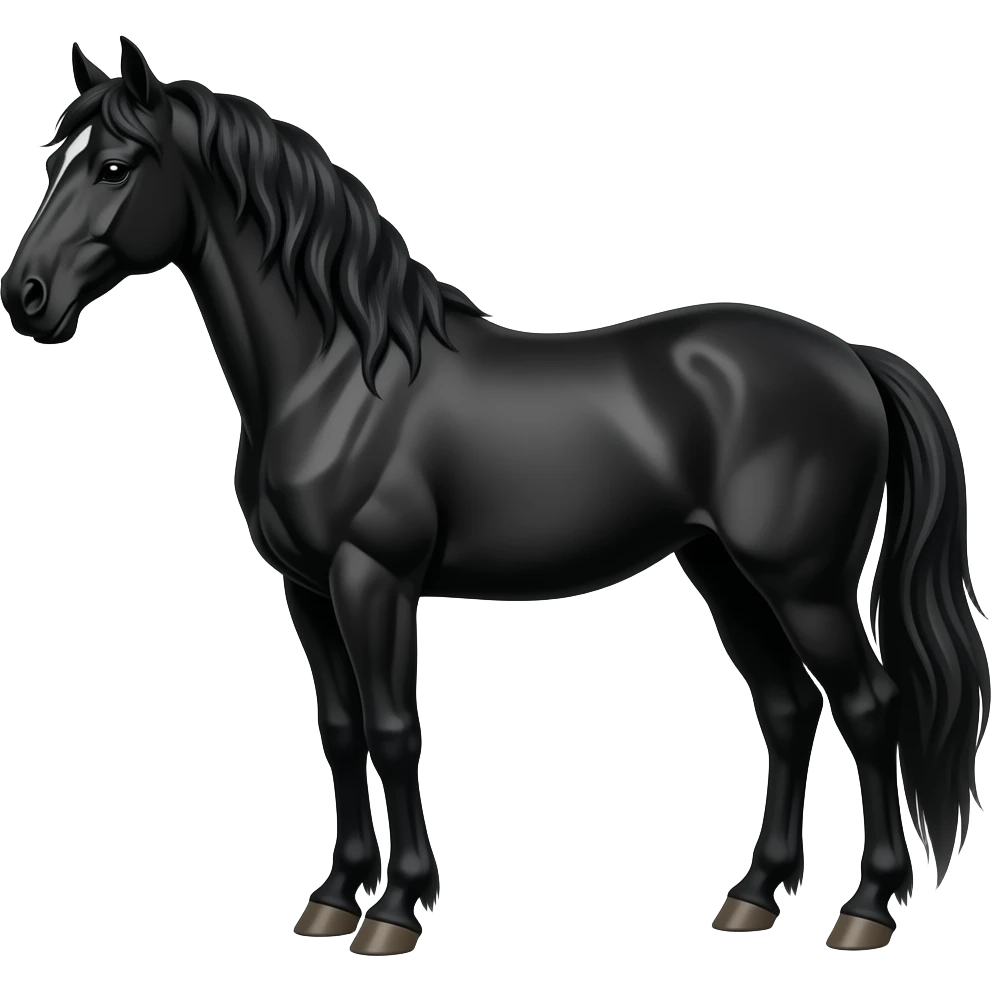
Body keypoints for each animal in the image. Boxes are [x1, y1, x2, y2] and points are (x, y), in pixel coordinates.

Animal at [2, 38, 988, 955]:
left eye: (115, 166)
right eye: (52, 161)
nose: (26, 297)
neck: (339, 376)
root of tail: (850, 358)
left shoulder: (374, 580)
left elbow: (395, 730)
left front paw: (395, 910)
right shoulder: (308, 589)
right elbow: (341, 730)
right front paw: (334, 897)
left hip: (804, 583)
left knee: (871, 707)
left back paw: (866, 909)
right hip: (724, 572)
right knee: (788, 712)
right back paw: (751, 898)